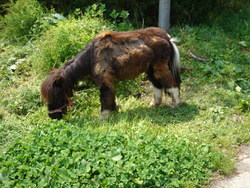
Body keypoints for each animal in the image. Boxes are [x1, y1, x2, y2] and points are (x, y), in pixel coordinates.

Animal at [41, 26, 182, 119]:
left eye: (56, 95)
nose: (52, 116)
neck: (91, 56)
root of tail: (167, 37)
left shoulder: (104, 77)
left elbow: (105, 95)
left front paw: (104, 115)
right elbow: (110, 94)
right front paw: (114, 110)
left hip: (159, 67)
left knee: (171, 83)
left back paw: (175, 104)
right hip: (151, 68)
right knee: (157, 84)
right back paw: (154, 104)